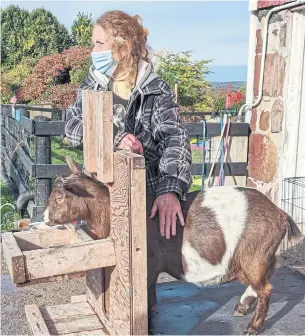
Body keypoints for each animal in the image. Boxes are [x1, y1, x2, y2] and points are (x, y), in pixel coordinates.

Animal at [44, 158, 302, 336]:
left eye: (59, 198)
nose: (45, 217)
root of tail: (281, 214)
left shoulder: (148, 265)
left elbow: (147, 294)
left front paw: (148, 321)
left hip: (255, 254)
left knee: (266, 288)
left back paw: (251, 328)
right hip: (260, 256)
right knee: (266, 278)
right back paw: (240, 308)